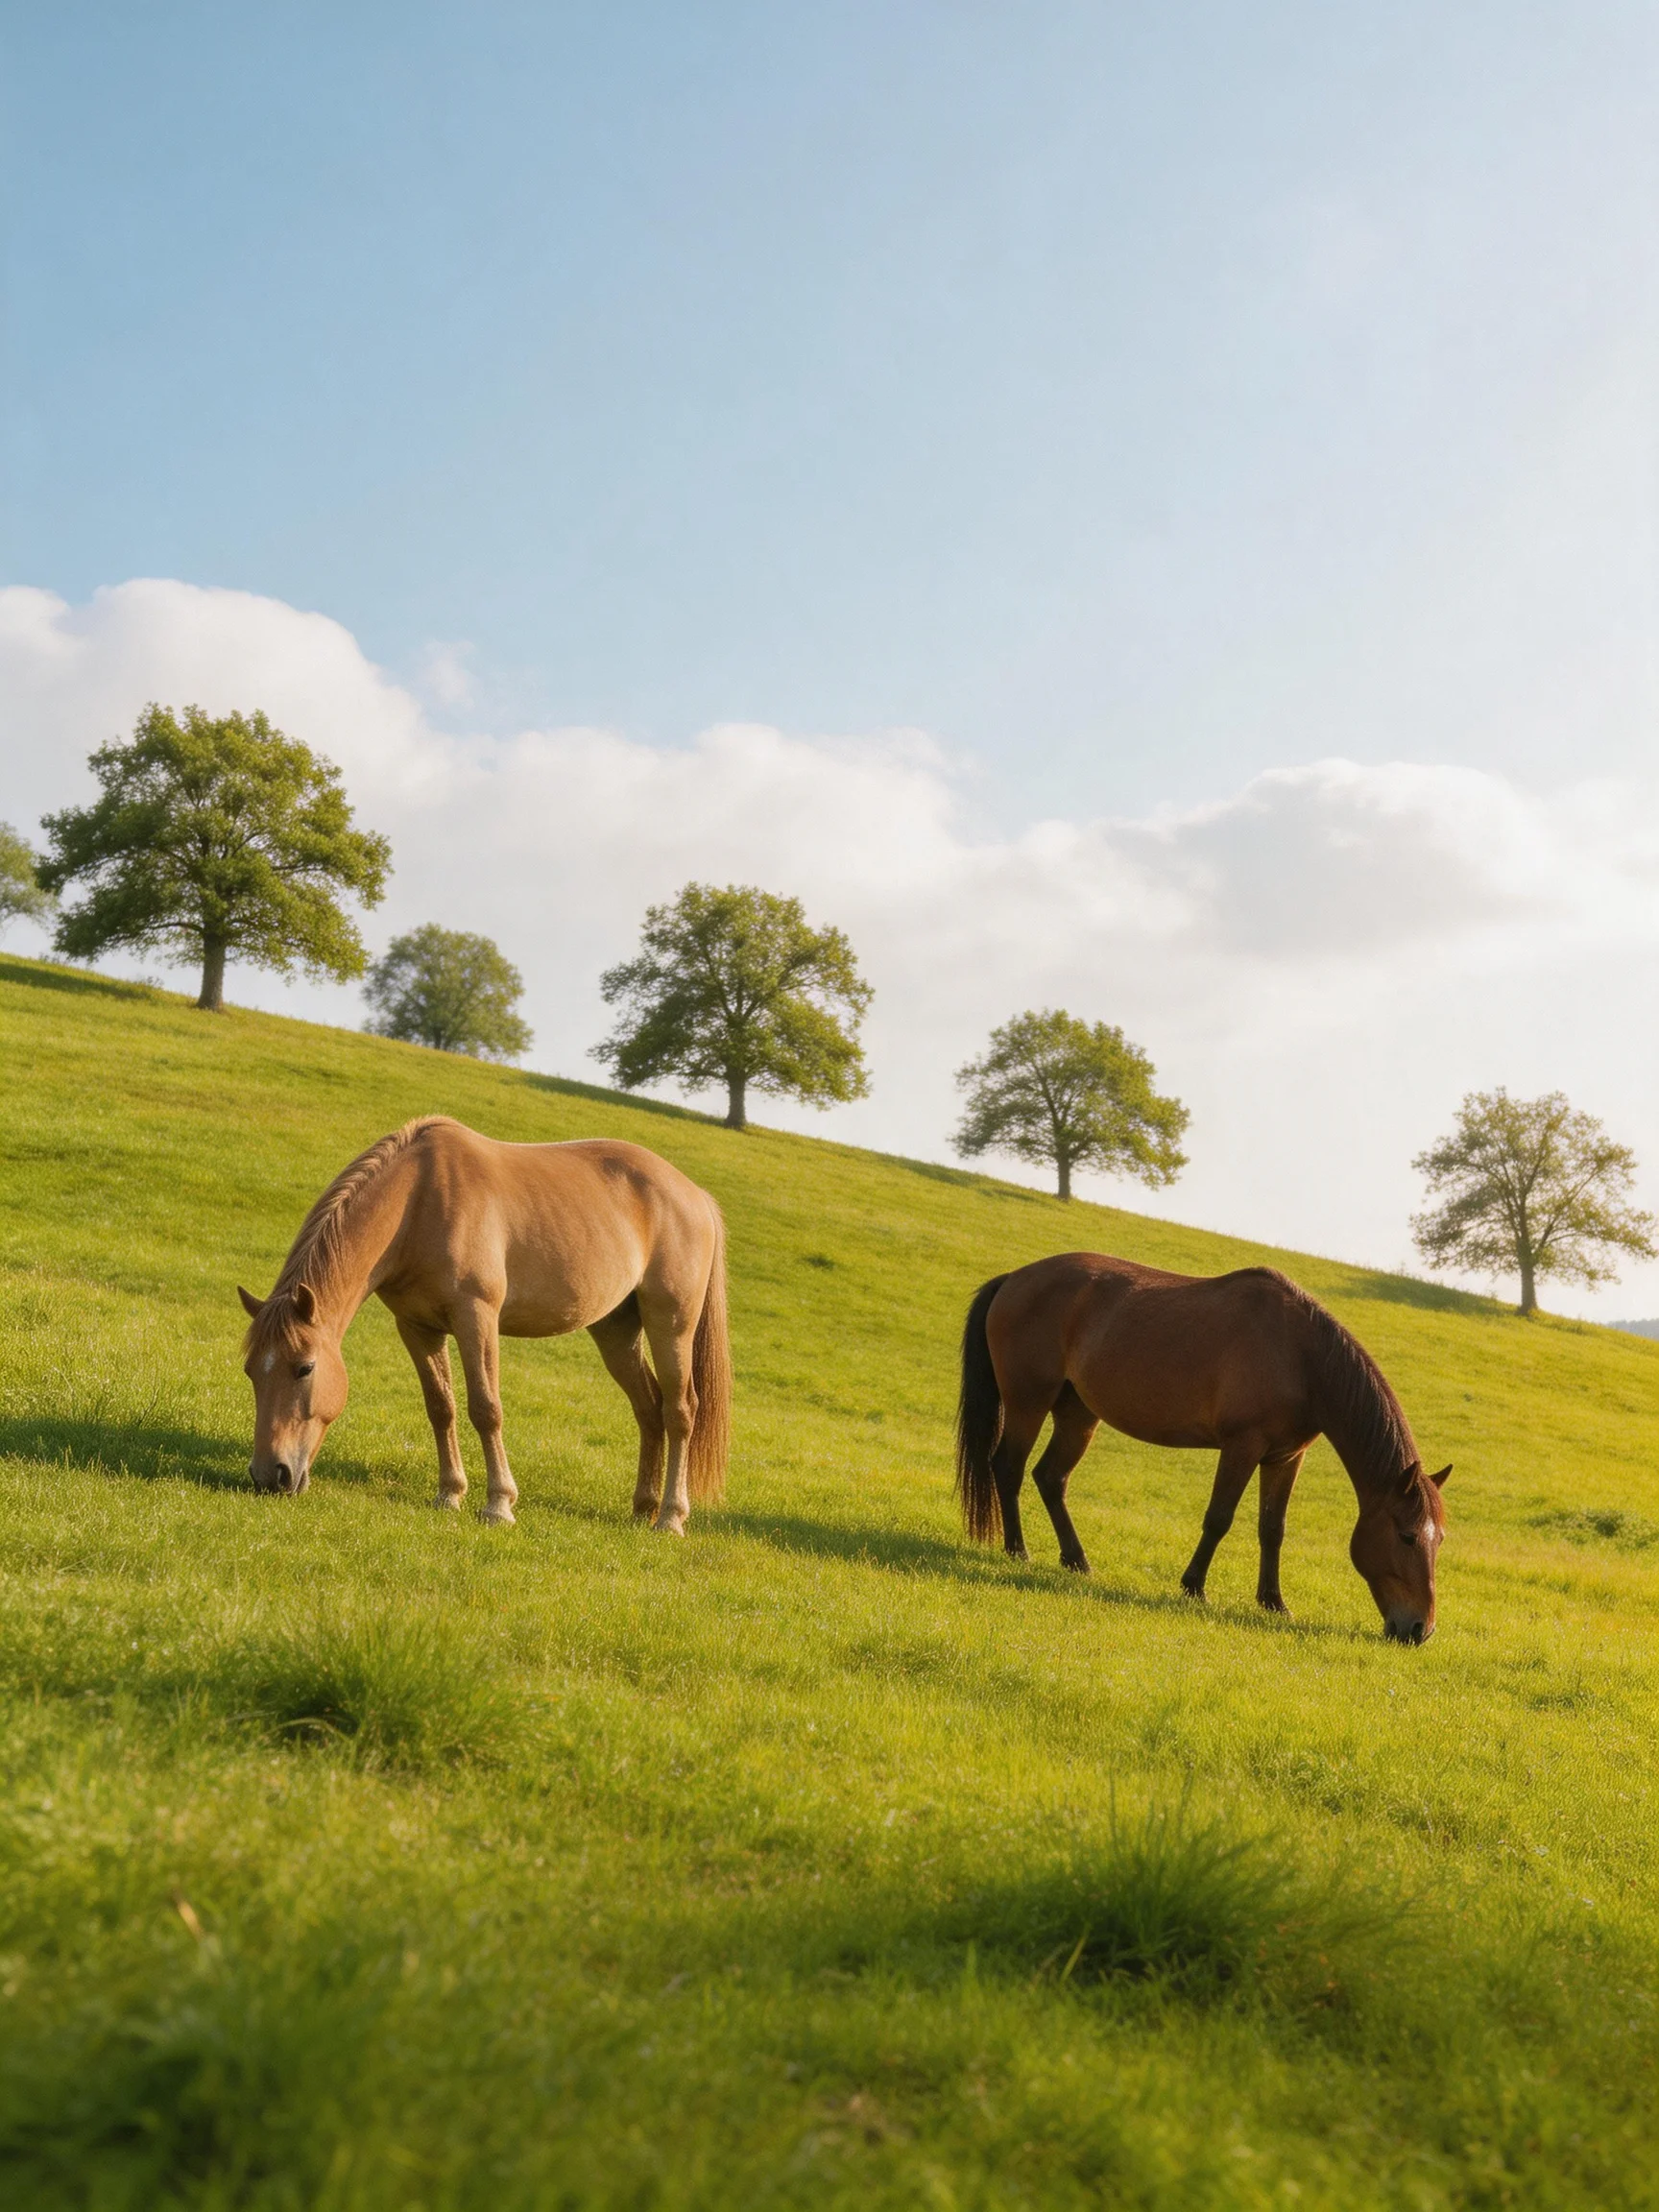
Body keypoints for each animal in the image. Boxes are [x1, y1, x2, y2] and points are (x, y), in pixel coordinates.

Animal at [238, 1117, 730, 1533]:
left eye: (304, 1368)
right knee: (648, 1408)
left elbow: (485, 1409)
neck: (419, 1201)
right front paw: (449, 1494)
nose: (270, 1475)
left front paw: (499, 1504)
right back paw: (643, 1508)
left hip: (671, 1324)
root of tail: (695, 1196)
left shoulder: (476, 1318)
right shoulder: (416, 1327)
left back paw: (670, 1517)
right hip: (615, 1330)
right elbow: (442, 1407)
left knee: (680, 1410)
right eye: (250, 1371)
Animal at [956, 1253, 1449, 1642]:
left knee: (1050, 1478)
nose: (1418, 1630)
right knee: (1008, 1468)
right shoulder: (1241, 1446)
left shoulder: (1286, 1457)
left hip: (1077, 1414)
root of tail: (1015, 1278)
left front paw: (1273, 1602)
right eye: (1406, 1536)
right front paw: (1194, 1587)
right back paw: (1018, 1550)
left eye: (1439, 1539)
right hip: (1028, 1402)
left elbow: (1273, 1529)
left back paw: (1077, 1560)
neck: (1302, 1357)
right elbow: (1219, 1519)